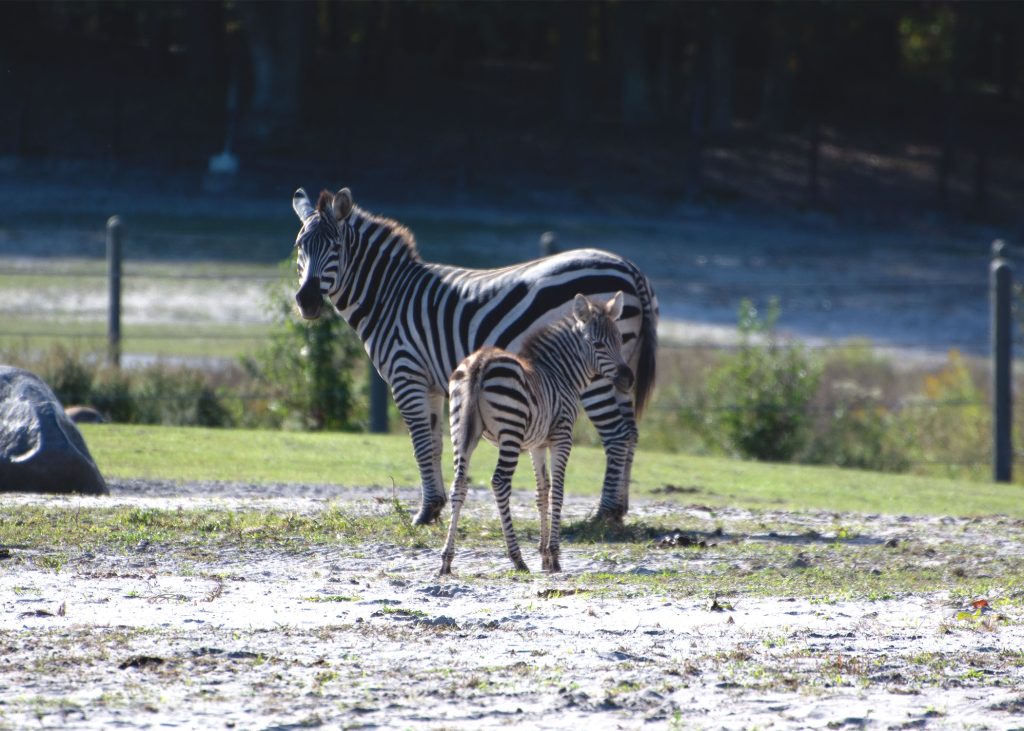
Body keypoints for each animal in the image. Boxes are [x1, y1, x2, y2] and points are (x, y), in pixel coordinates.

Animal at [291, 187, 658, 525]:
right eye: (299, 247)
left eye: (335, 248)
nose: (307, 301)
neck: (390, 297)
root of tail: (629, 267)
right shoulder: (431, 384)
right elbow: (434, 443)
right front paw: (435, 506)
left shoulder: (406, 374)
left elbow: (420, 443)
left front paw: (424, 513)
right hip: (620, 367)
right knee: (631, 432)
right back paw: (620, 509)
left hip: (597, 372)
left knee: (616, 434)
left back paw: (604, 512)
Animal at [440, 292, 632, 575]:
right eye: (597, 344)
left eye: (620, 340)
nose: (628, 380)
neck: (561, 374)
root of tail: (481, 361)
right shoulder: (562, 437)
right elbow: (558, 492)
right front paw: (554, 556)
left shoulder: (537, 444)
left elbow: (542, 492)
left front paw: (544, 557)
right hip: (510, 430)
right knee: (499, 482)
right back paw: (517, 558)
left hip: (462, 432)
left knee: (459, 483)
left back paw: (446, 560)